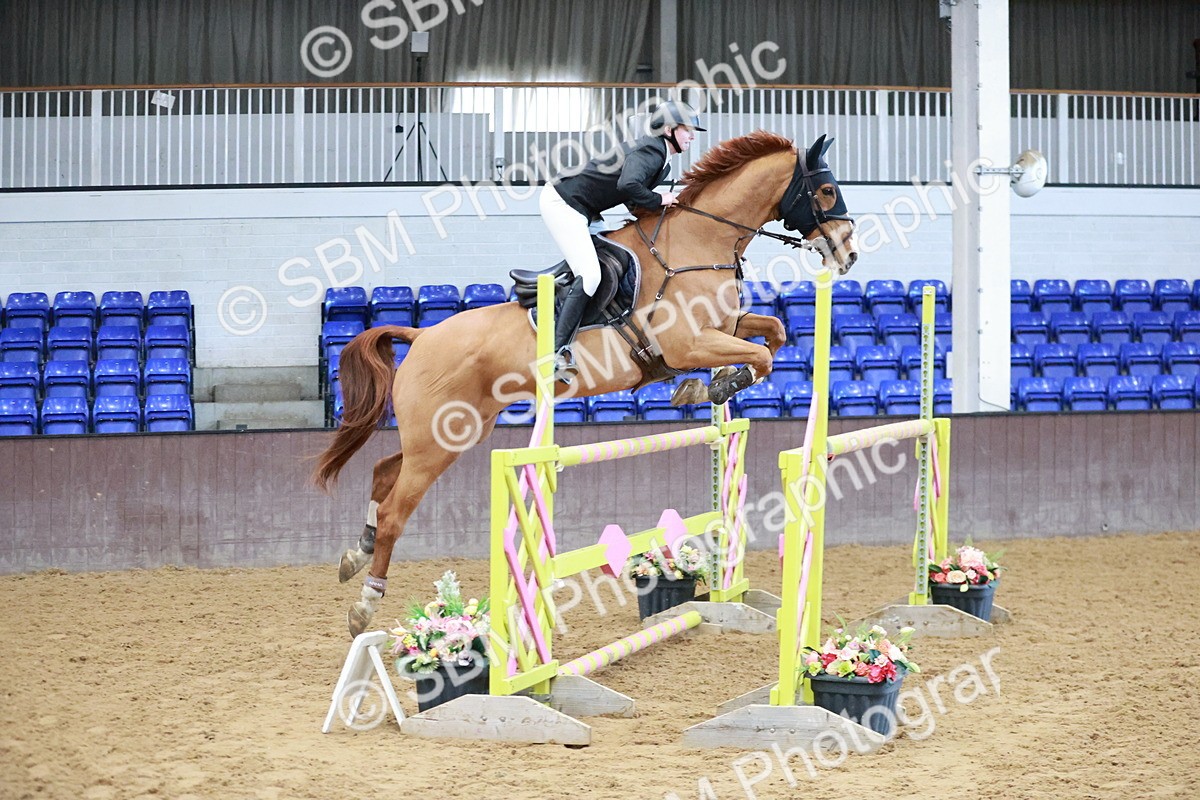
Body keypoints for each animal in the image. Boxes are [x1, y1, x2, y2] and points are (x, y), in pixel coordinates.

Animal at [314, 130, 859, 636]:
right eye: (827, 190)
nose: (849, 253)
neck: (697, 243)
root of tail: (422, 335)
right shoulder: (688, 344)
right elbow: (760, 356)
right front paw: (712, 387)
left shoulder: (723, 329)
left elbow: (774, 333)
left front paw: (711, 385)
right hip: (436, 441)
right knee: (395, 511)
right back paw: (364, 604)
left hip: (453, 432)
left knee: (385, 471)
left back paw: (354, 554)